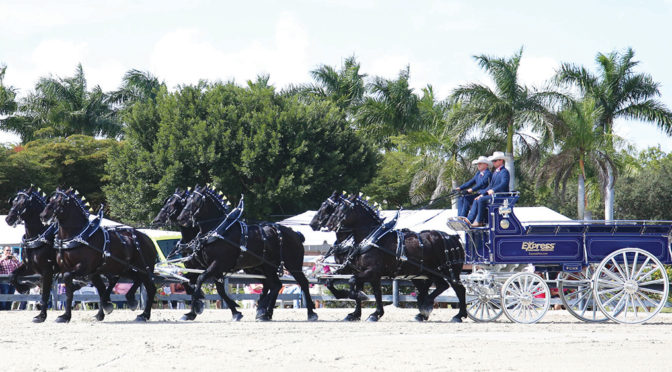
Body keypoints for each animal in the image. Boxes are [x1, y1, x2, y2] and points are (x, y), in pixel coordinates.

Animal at [40, 187, 158, 322]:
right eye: (50, 200)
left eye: (60, 201)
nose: (43, 216)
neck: (78, 236)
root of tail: (148, 239)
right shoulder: (74, 269)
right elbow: (70, 291)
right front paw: (66, 315)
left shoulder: (84, 268)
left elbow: (69, 280)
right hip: (124, 268)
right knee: (135, 279)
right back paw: (128, 300)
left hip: (144, 269)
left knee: (151, 288)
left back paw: (144, 314)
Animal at [176, 187, 318, 322]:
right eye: (186, 201)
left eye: (196, 201)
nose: (180, 218)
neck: (219, 231)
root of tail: (296, 234)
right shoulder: (207, 268)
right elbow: (187, 280)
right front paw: (193, 310)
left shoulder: (217, 265)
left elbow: (201, 280)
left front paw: (195, 308)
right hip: (265, 267)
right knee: (275, 285)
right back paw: (265, 313)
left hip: (293, 265)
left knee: (302, 283)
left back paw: (310, 312)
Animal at [326, 195, 468, 322]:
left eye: (342, 210)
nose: (329, 225)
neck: (372, 239)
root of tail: (452, 237)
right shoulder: (362, 271)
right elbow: (332, 282)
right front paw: (368, 312)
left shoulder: (371, 271)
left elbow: (352, 281)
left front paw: (360, 298)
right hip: (431, 272)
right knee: (441, 286)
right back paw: (424, 311)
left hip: (449, 271)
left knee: (459, 289)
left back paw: (456, 315)